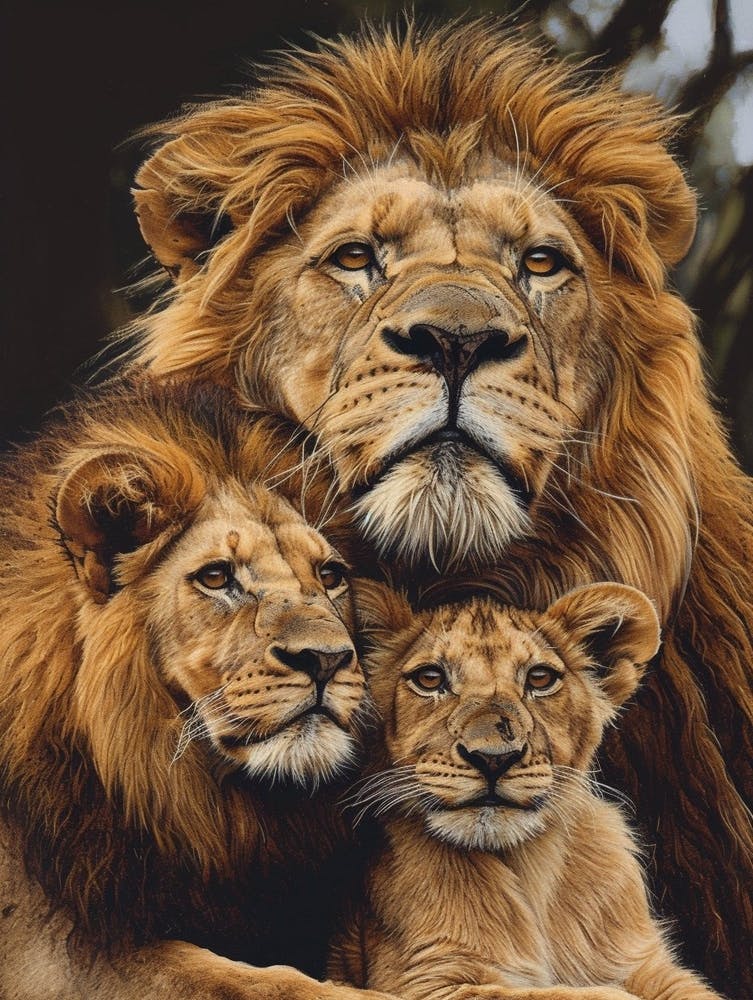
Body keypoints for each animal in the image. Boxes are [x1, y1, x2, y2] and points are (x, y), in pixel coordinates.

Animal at [328, 580, 722, 1000]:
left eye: (540, 679)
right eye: (430, 679)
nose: (493, 758)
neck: (527, 862)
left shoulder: (648, 965)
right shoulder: (431, 978)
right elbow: (561, 993)